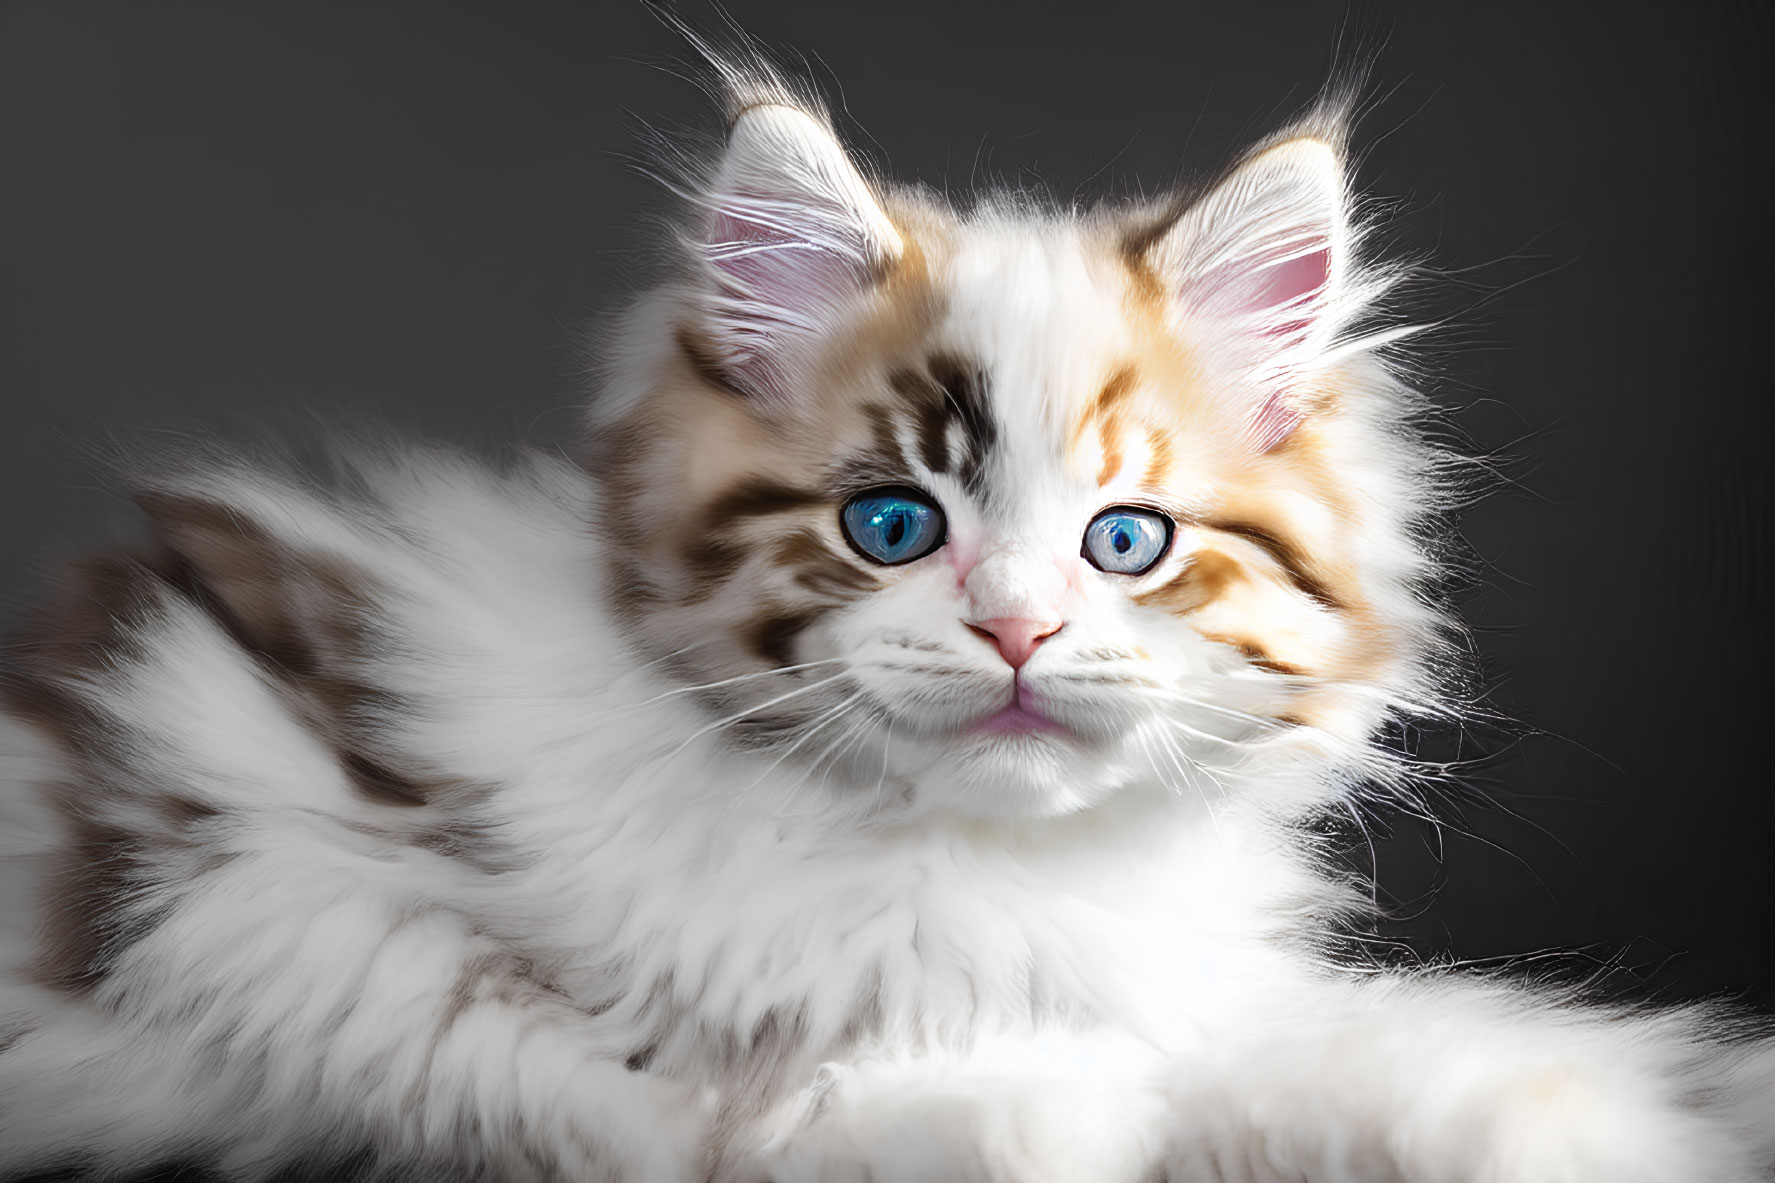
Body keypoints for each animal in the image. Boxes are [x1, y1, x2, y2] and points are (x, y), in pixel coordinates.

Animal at [3, 39, 1775, 1179]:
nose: (1014, 629)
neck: (966, 861)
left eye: (1125, 540)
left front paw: (1639, 1109)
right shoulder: (713, 1078)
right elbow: (1099, 1110)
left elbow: (1397, 1052)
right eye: (890, 524)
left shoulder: (1148, 983)